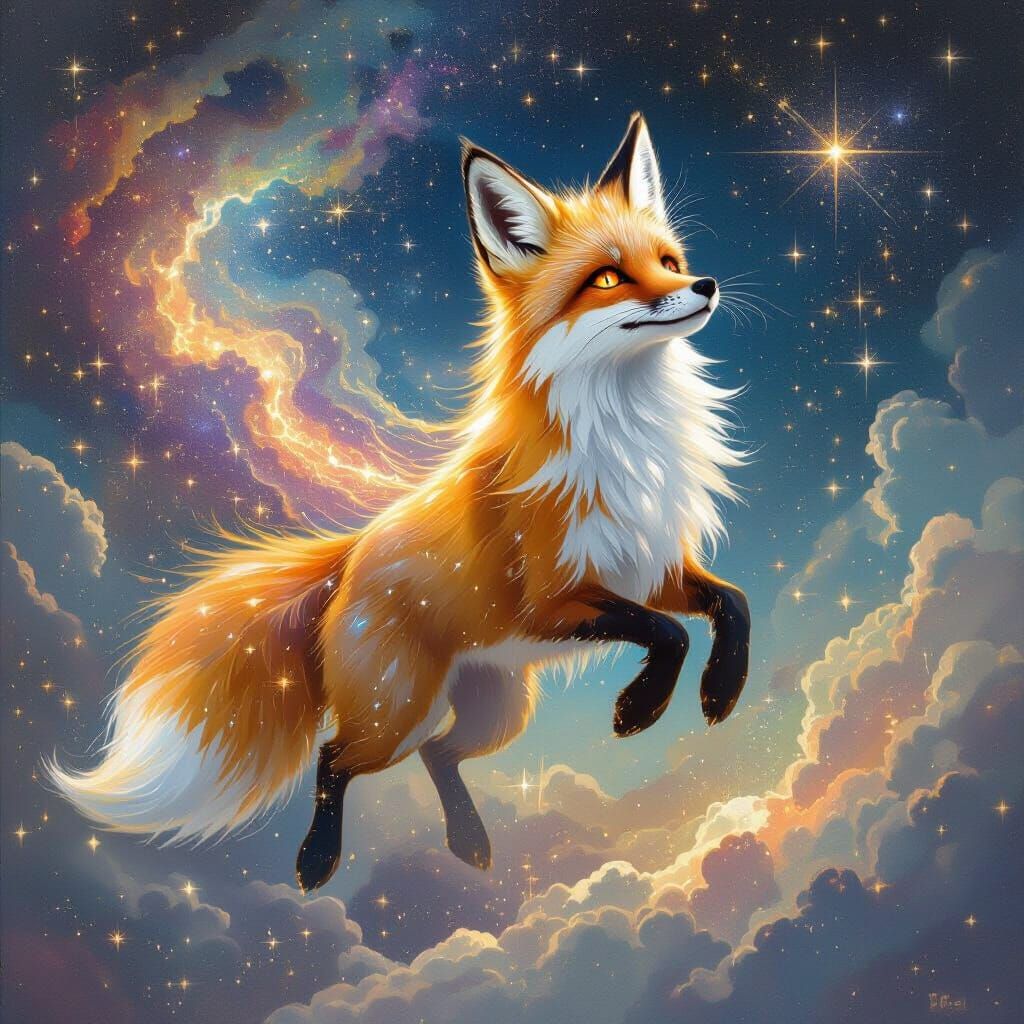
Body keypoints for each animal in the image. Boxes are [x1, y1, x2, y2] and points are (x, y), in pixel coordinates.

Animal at [48, 114, 751, 892]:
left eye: (669, 259)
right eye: (606, 277)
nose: (706, 283)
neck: (629, 436)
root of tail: (350, 556)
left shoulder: (650, 567)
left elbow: (731, 604)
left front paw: (720, 692)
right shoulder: (551, 597)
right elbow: (668, 631)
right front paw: (641, 707)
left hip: (498, 711)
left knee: (437, 754)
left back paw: (469, 842)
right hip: (398, 709)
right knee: (335, 757)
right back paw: (317, 860)